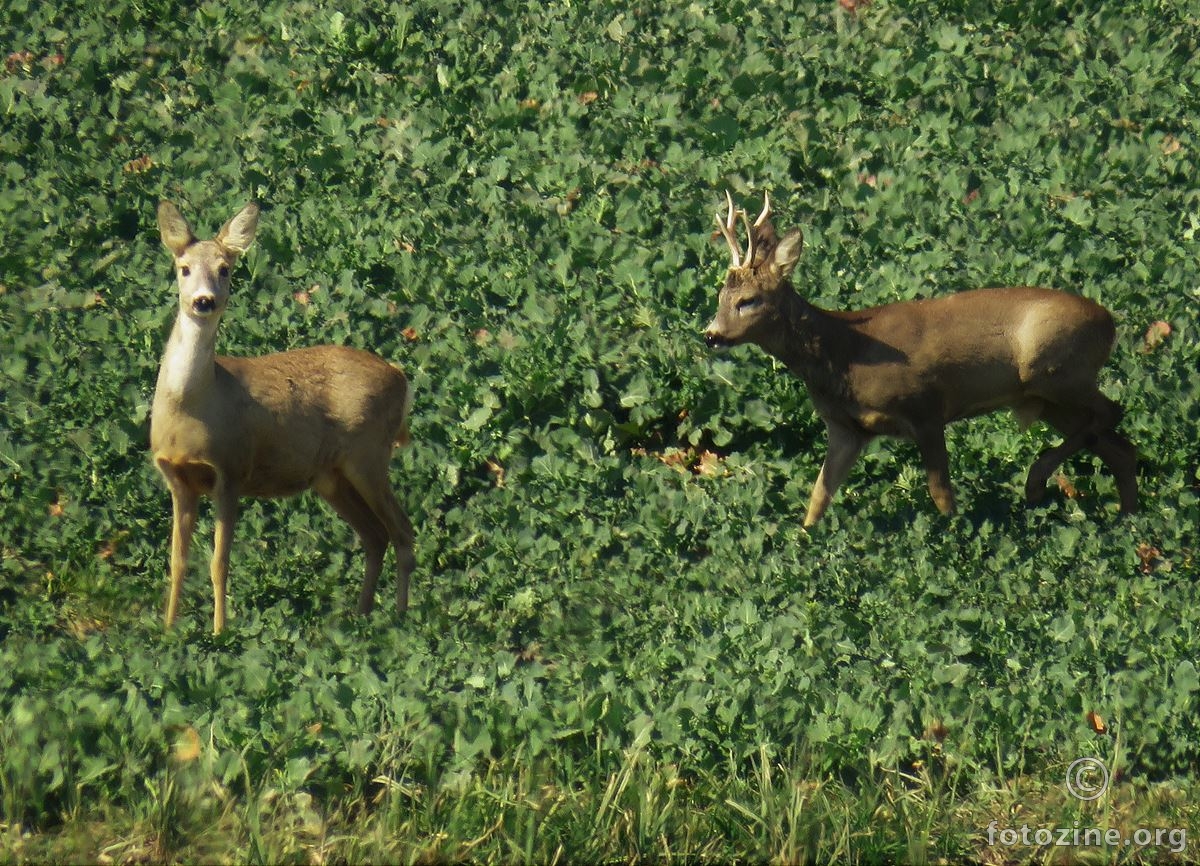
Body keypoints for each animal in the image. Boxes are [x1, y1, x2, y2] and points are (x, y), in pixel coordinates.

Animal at [705, 191, 1137, 522]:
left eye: (749, 300)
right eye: (721, 295)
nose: (711, 335)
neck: (845, 351)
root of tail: (1109, 321)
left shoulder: (926, 407)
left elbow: (941, 492)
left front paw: (953, 537)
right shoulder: (846, 427)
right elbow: (819, 495)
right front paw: (804, 544)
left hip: (1055, 371)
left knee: (1112, 412)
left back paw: (1037, 479)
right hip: (1048, 398)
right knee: (1120, 447)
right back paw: (1126, 518)